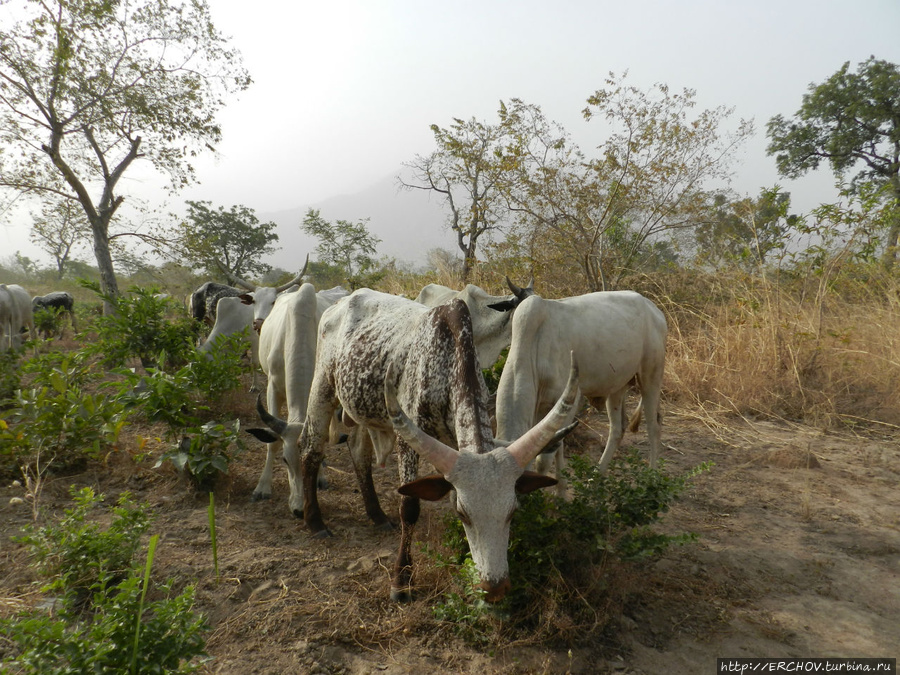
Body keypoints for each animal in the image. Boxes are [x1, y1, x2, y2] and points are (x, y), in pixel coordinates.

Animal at [253, 290, 580, 604]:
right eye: (464, 514)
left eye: (512, 511)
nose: (495, 587)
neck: (448, 359)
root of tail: (341, 303)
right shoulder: (408, 438)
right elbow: (409, 507)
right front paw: (401, 583)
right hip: (323, 385)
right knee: (311, 448)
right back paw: (315, 521)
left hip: (362, 407)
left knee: (358, 450)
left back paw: (376, 515)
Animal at [492, 290, 668, 486]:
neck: (534, 347)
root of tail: (655, 310)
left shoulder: (568, 400)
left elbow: (544, 459)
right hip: (618, 386)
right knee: (618, 427)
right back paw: (595, 477)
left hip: (651, 376)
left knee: (654, 425)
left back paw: (652, 479)